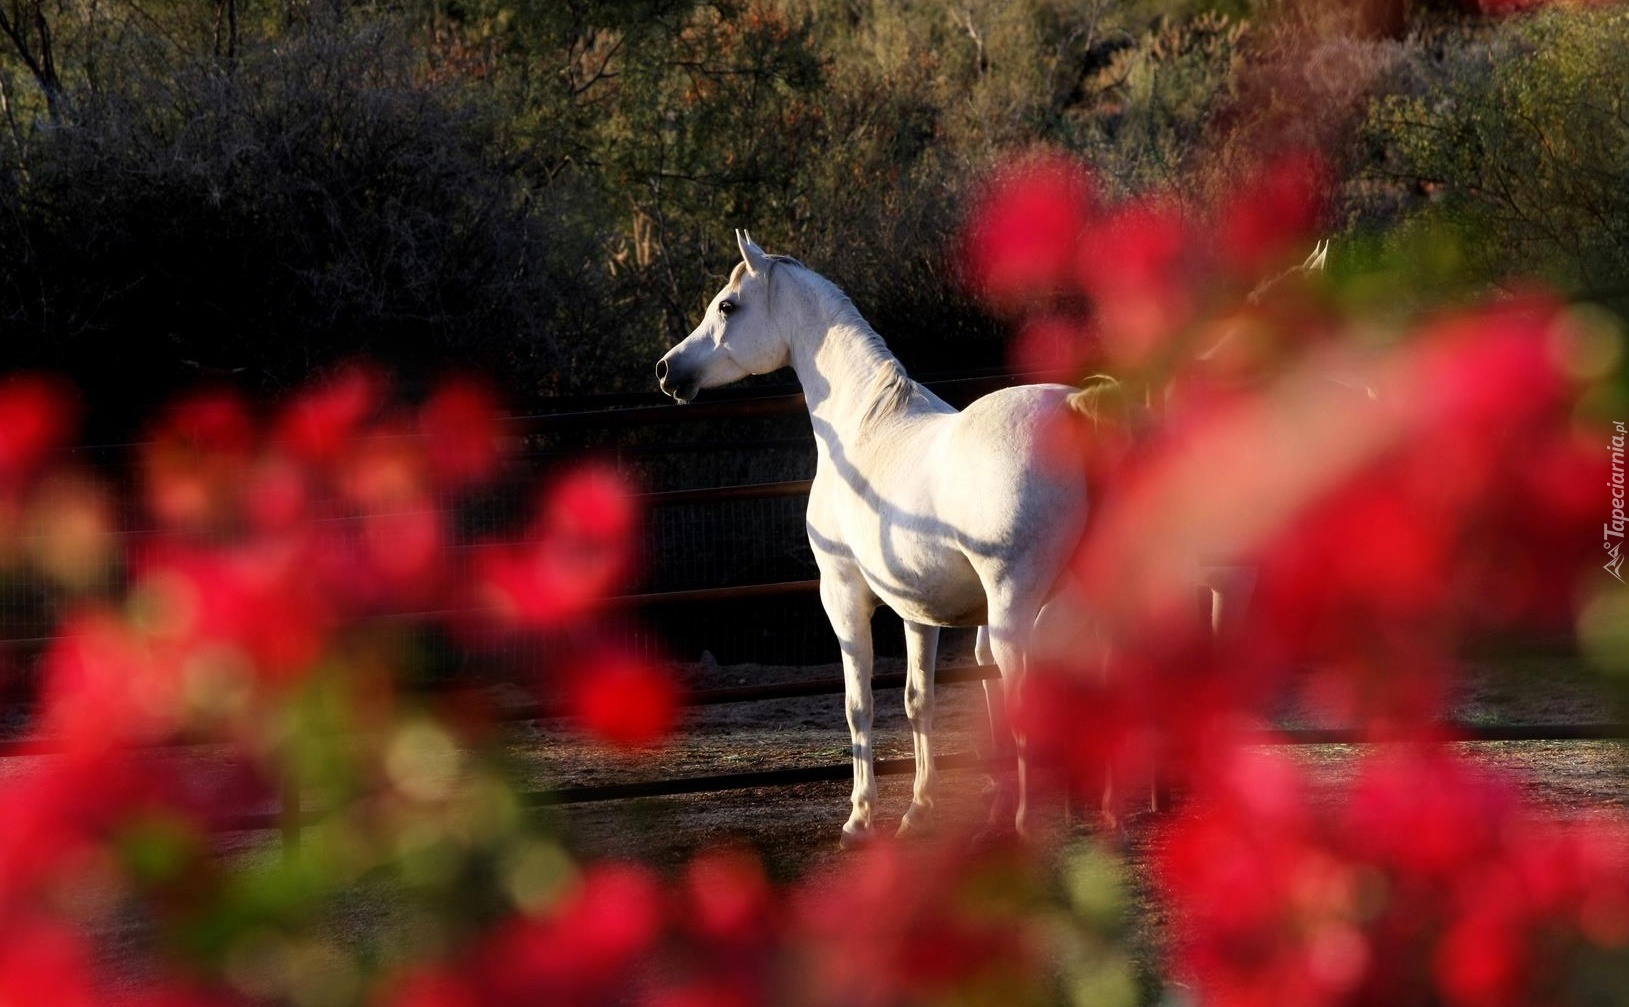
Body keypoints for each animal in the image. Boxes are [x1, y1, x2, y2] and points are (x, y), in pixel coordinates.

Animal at [654, 233, 1088, 840]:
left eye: (727, 306)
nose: (668, 370)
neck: (865, 424)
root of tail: (1076, 411)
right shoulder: (917, 609)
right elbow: (917, 700)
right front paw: (919, 809)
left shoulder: (841, 594)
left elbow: (858, 704)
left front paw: (860, 815)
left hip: (1014, 612)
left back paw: (1025, 824)